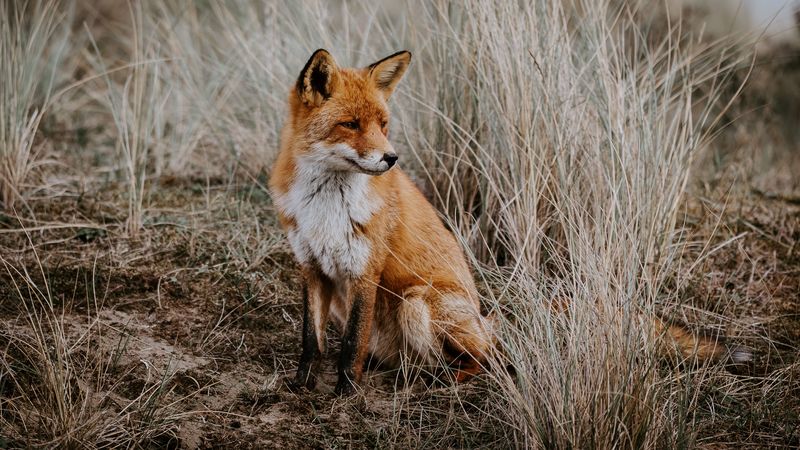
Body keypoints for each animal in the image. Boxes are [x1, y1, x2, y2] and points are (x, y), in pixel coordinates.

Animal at [269, 49, 751, 395]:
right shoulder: (312, 267)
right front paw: (301, 387)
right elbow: (312, 342)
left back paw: (441, 383)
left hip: (418, 302)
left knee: (491, 361)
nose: (391, 158)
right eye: (350, 124)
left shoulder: (364, 271)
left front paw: (345, 395)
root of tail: (486, 318)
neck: (326, 205)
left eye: (383, 124)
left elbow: (350, 344)